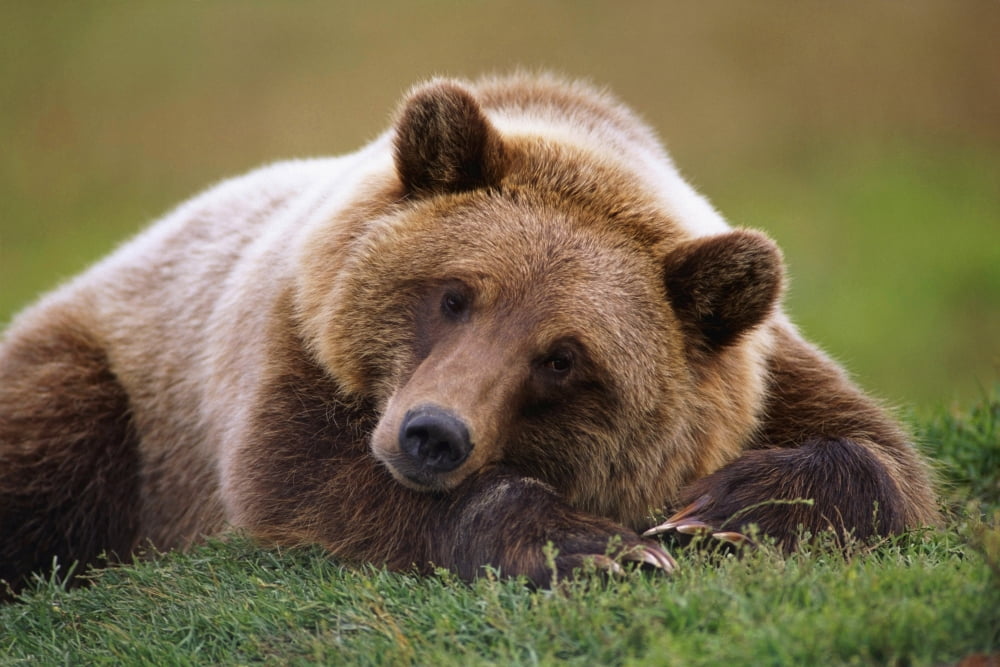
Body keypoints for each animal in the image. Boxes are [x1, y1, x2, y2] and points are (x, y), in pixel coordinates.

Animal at [0, 73, 939, 598]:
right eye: (453, 295)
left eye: (563, 357)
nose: (433, 434)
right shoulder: (287, 345)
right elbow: (300, 478)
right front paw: (595, 546)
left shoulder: (761, 374)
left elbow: (885, 457)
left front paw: (727, 509)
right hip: (116, 381)